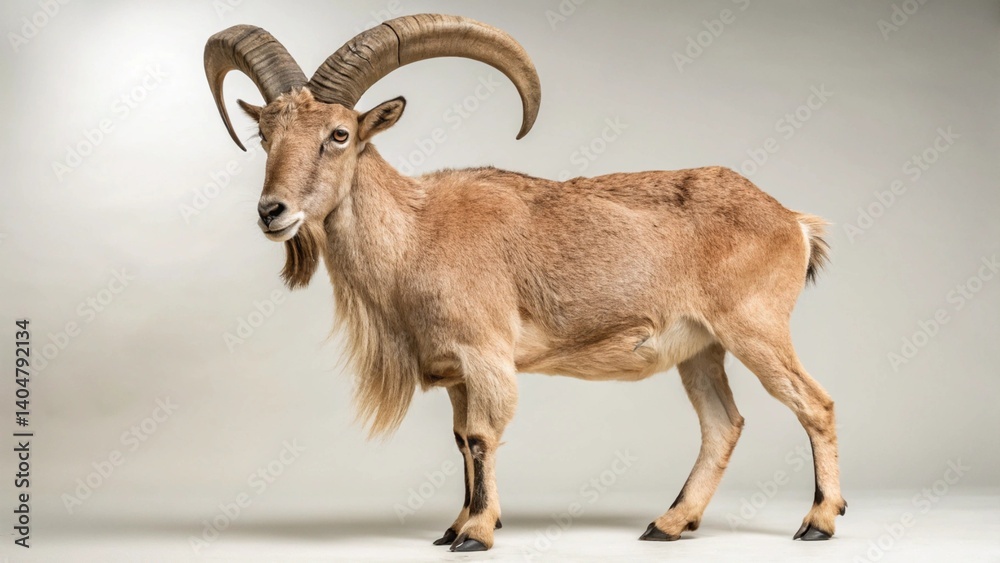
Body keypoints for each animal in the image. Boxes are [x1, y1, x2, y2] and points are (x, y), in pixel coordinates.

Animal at [204, 13, 845, 552]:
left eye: (338, 134)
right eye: (263, 135)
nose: (272, 211)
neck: (415, 234)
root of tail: (792, 220)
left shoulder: (484, 353)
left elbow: (482, 436)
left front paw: (477, 533)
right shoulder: (455, 371)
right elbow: (460, 440)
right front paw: (452, 526)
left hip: (755, 327)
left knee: (814, 403)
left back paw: (818, 521)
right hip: (701, 348)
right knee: (722, 424)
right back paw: (669, 523)